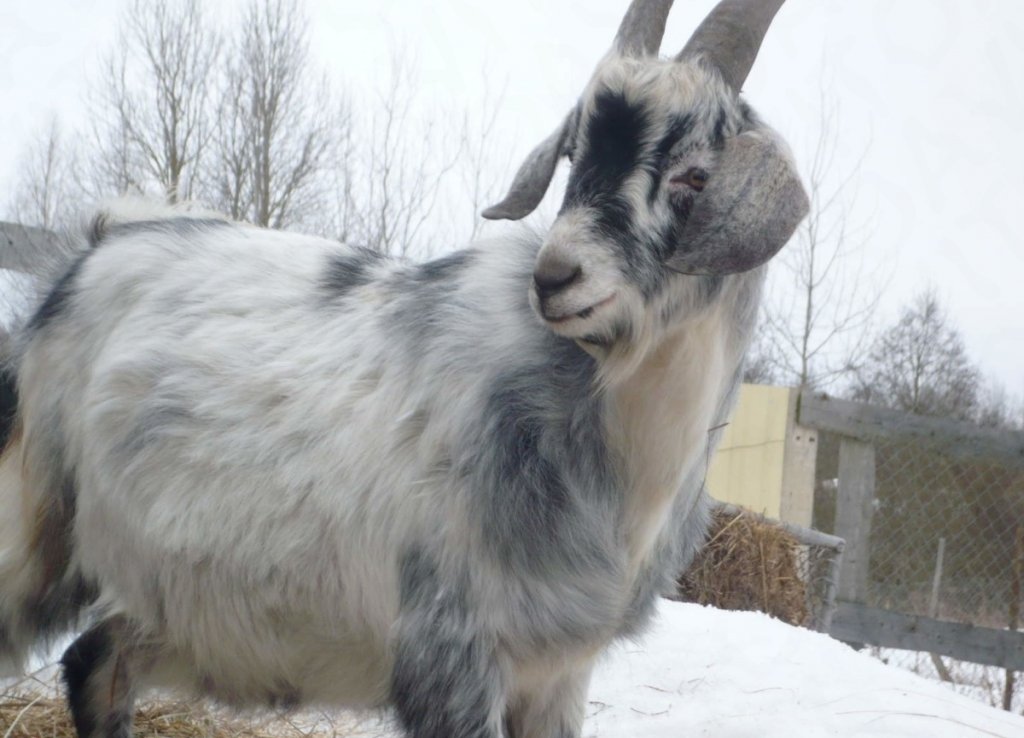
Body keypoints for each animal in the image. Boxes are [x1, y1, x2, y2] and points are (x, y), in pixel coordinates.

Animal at [0, 1, 806, 736]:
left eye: (693, 177)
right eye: (575, 155)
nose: (555, 277)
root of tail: (102, 242)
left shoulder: (556, 671)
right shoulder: (449, 655)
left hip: (182, 603)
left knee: (96, 661)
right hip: (34, 516)